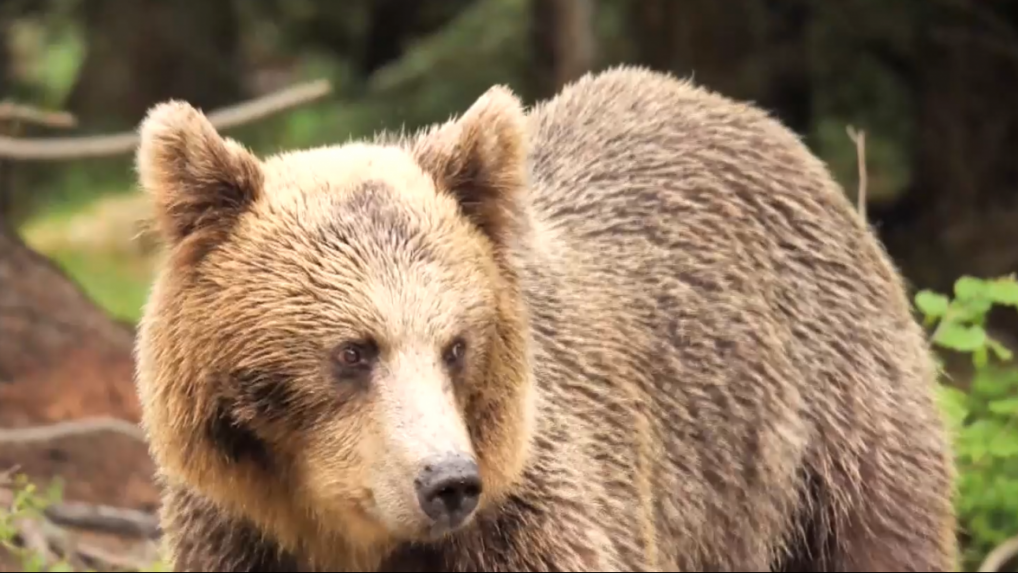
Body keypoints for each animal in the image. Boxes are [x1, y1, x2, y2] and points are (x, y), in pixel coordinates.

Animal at [131, 65, 956, 569]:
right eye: (354, 350)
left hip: (828, 427)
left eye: (456, 345)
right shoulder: (236, 531)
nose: (448, 481)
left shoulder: (534, 511)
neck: (343, 533)